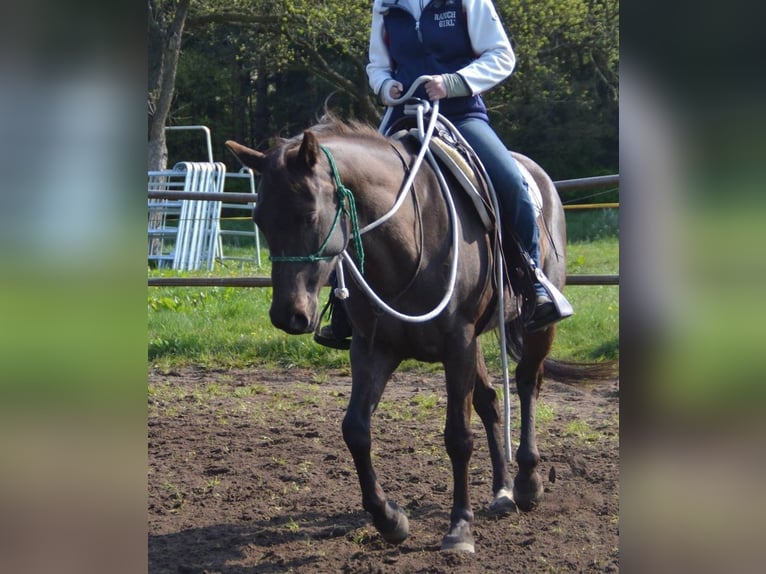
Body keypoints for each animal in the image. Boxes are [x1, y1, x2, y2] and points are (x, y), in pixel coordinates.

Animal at [226, 116, 588, 553]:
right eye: (259, 219)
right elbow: (356, 430)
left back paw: (527, 482)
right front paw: (390, 519)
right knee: (489, 401)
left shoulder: (457, 344)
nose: (288, 315)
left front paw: (460, 528)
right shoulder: (373, 348)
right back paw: (501, 490)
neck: (412, 239)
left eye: (309, 214)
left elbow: (457, 437)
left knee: (527, 383)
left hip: (537, 330)